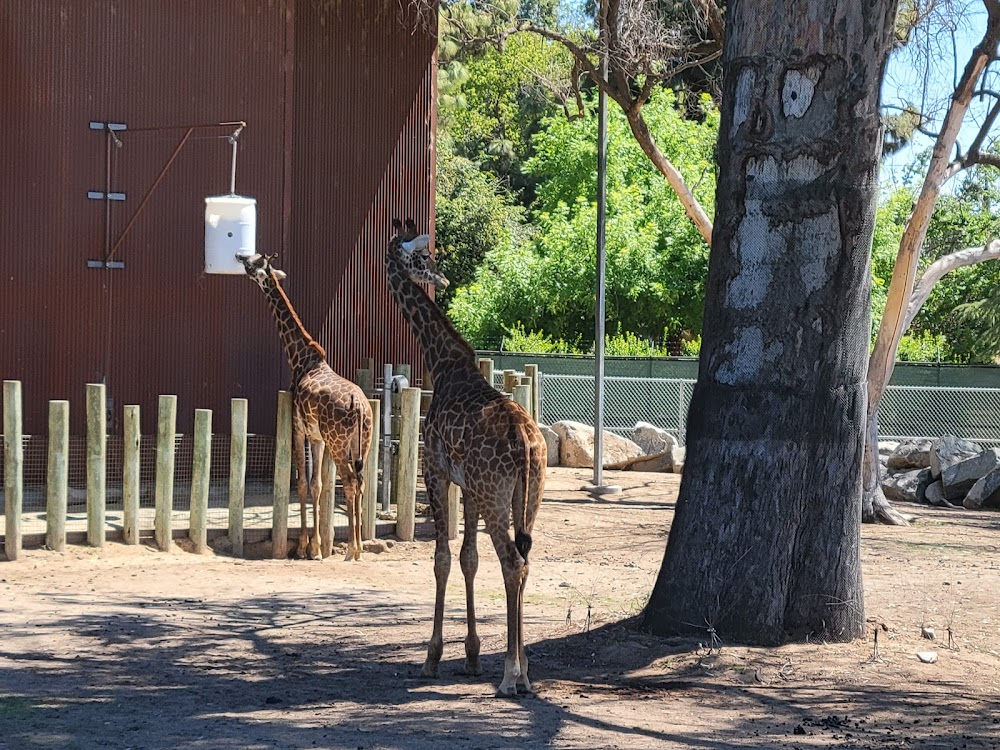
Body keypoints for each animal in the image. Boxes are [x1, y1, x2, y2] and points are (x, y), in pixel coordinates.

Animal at [239, 254, 376, 564]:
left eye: (254, 262)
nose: (239, 256)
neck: (300, 358)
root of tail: (361, 408)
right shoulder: (317, 437)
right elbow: (317, 485)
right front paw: (316, 547)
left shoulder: (298, 427)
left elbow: (301, 483)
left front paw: (304, 547)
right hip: (362, 443)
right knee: (361, 482)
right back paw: (359, 548)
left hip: (339, 443)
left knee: (350, 482)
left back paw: (351, 550)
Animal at [384, 217, 548, 700]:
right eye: (423, 256)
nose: (439, 278)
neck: (441, 361)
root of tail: (527, 445)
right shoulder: (469, 487)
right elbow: (468, 559)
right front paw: (473, 655)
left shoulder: (436, 472)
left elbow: (441, 558)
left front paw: (432, 657)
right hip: (526, 497)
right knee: (525, 561)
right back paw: (524, 671)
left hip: (496, 497)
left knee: (512, 561)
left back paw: (511, 675)